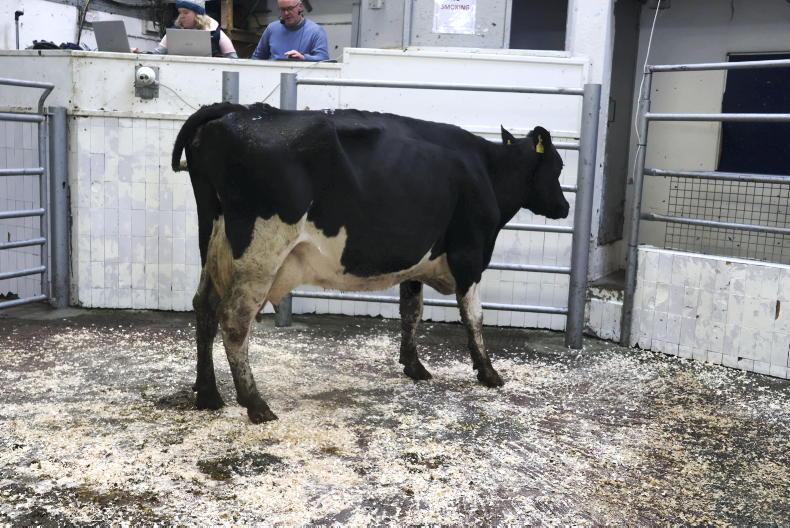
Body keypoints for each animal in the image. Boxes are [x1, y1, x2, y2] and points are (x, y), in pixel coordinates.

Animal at [172, 102, 569, 423]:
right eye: (558, 166)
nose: (565, 207)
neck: (487, 170)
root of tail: (235, 110)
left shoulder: (416, 263)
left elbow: (411, 311)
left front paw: (414, 365)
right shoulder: (470, 253)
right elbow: (474, 316)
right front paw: (488, 373)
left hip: (214, 242)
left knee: (204, 308)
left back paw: (208, 393)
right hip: (260, 253)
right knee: (234, 319)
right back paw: (255, 404)